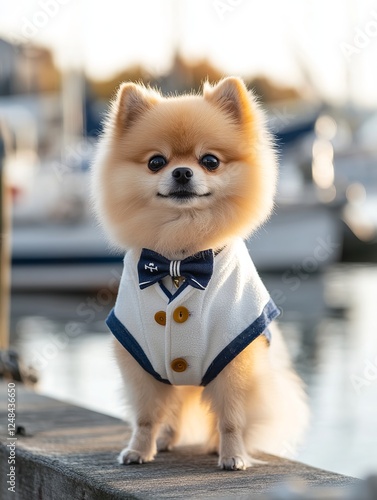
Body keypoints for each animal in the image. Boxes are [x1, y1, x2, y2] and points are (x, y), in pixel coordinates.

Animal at [92, 77, 308, 468]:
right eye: (156, 162)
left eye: (210, 161)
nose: (181, 171)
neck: (181, 258)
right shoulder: (140, 361)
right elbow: (146, 416)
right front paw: (139, 449)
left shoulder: (235, 361)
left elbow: (231, 419)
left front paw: (232, 456)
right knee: (174, 410)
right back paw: (165, 440)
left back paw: (215, 446)